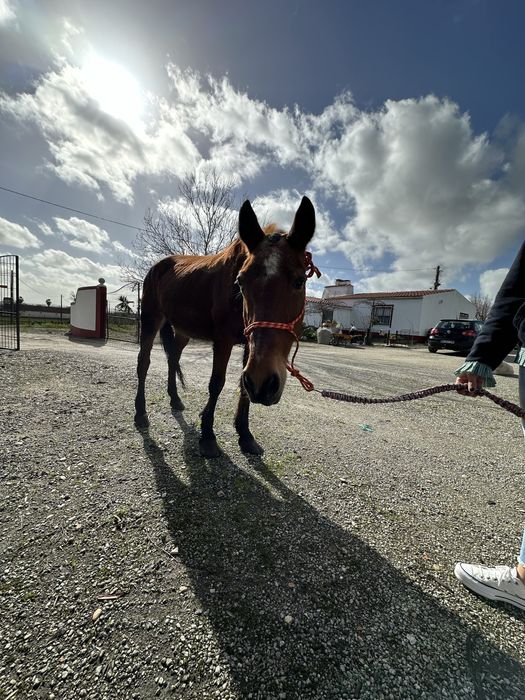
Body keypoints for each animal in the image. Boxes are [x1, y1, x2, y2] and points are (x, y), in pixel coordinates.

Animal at [134, 196, 316, 458]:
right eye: (241, 281)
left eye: (299, 281)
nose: (265, 386)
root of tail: (159, 266)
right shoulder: (223, 341)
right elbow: (216, 383)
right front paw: (208, 436)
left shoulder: (251, 347)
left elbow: (243, 386)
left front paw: (245, 434)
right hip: (150, 320)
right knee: (144, 363)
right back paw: (140, 413)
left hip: (183, 332)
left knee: (173, 359)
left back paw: (175, 400)